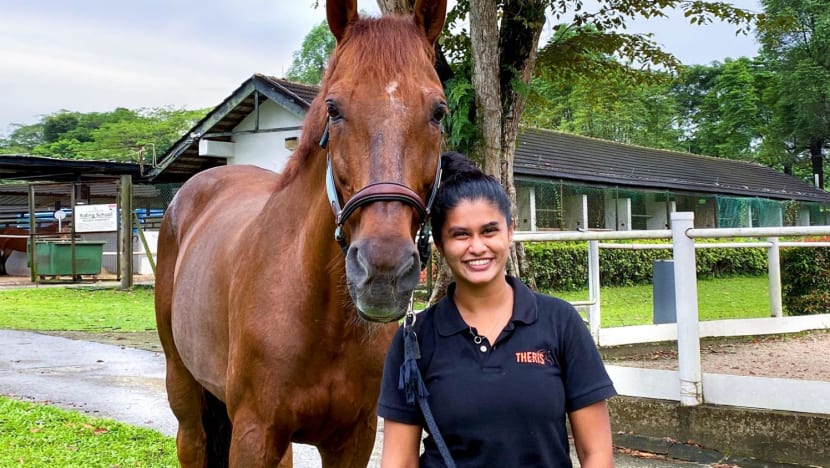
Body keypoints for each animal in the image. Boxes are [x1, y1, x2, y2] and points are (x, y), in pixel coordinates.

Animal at [154, 1, 448, 466]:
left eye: (438, 111)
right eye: (333, 108)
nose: (382, 270)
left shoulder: (354, 438)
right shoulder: (254, 434)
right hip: (183, 389)